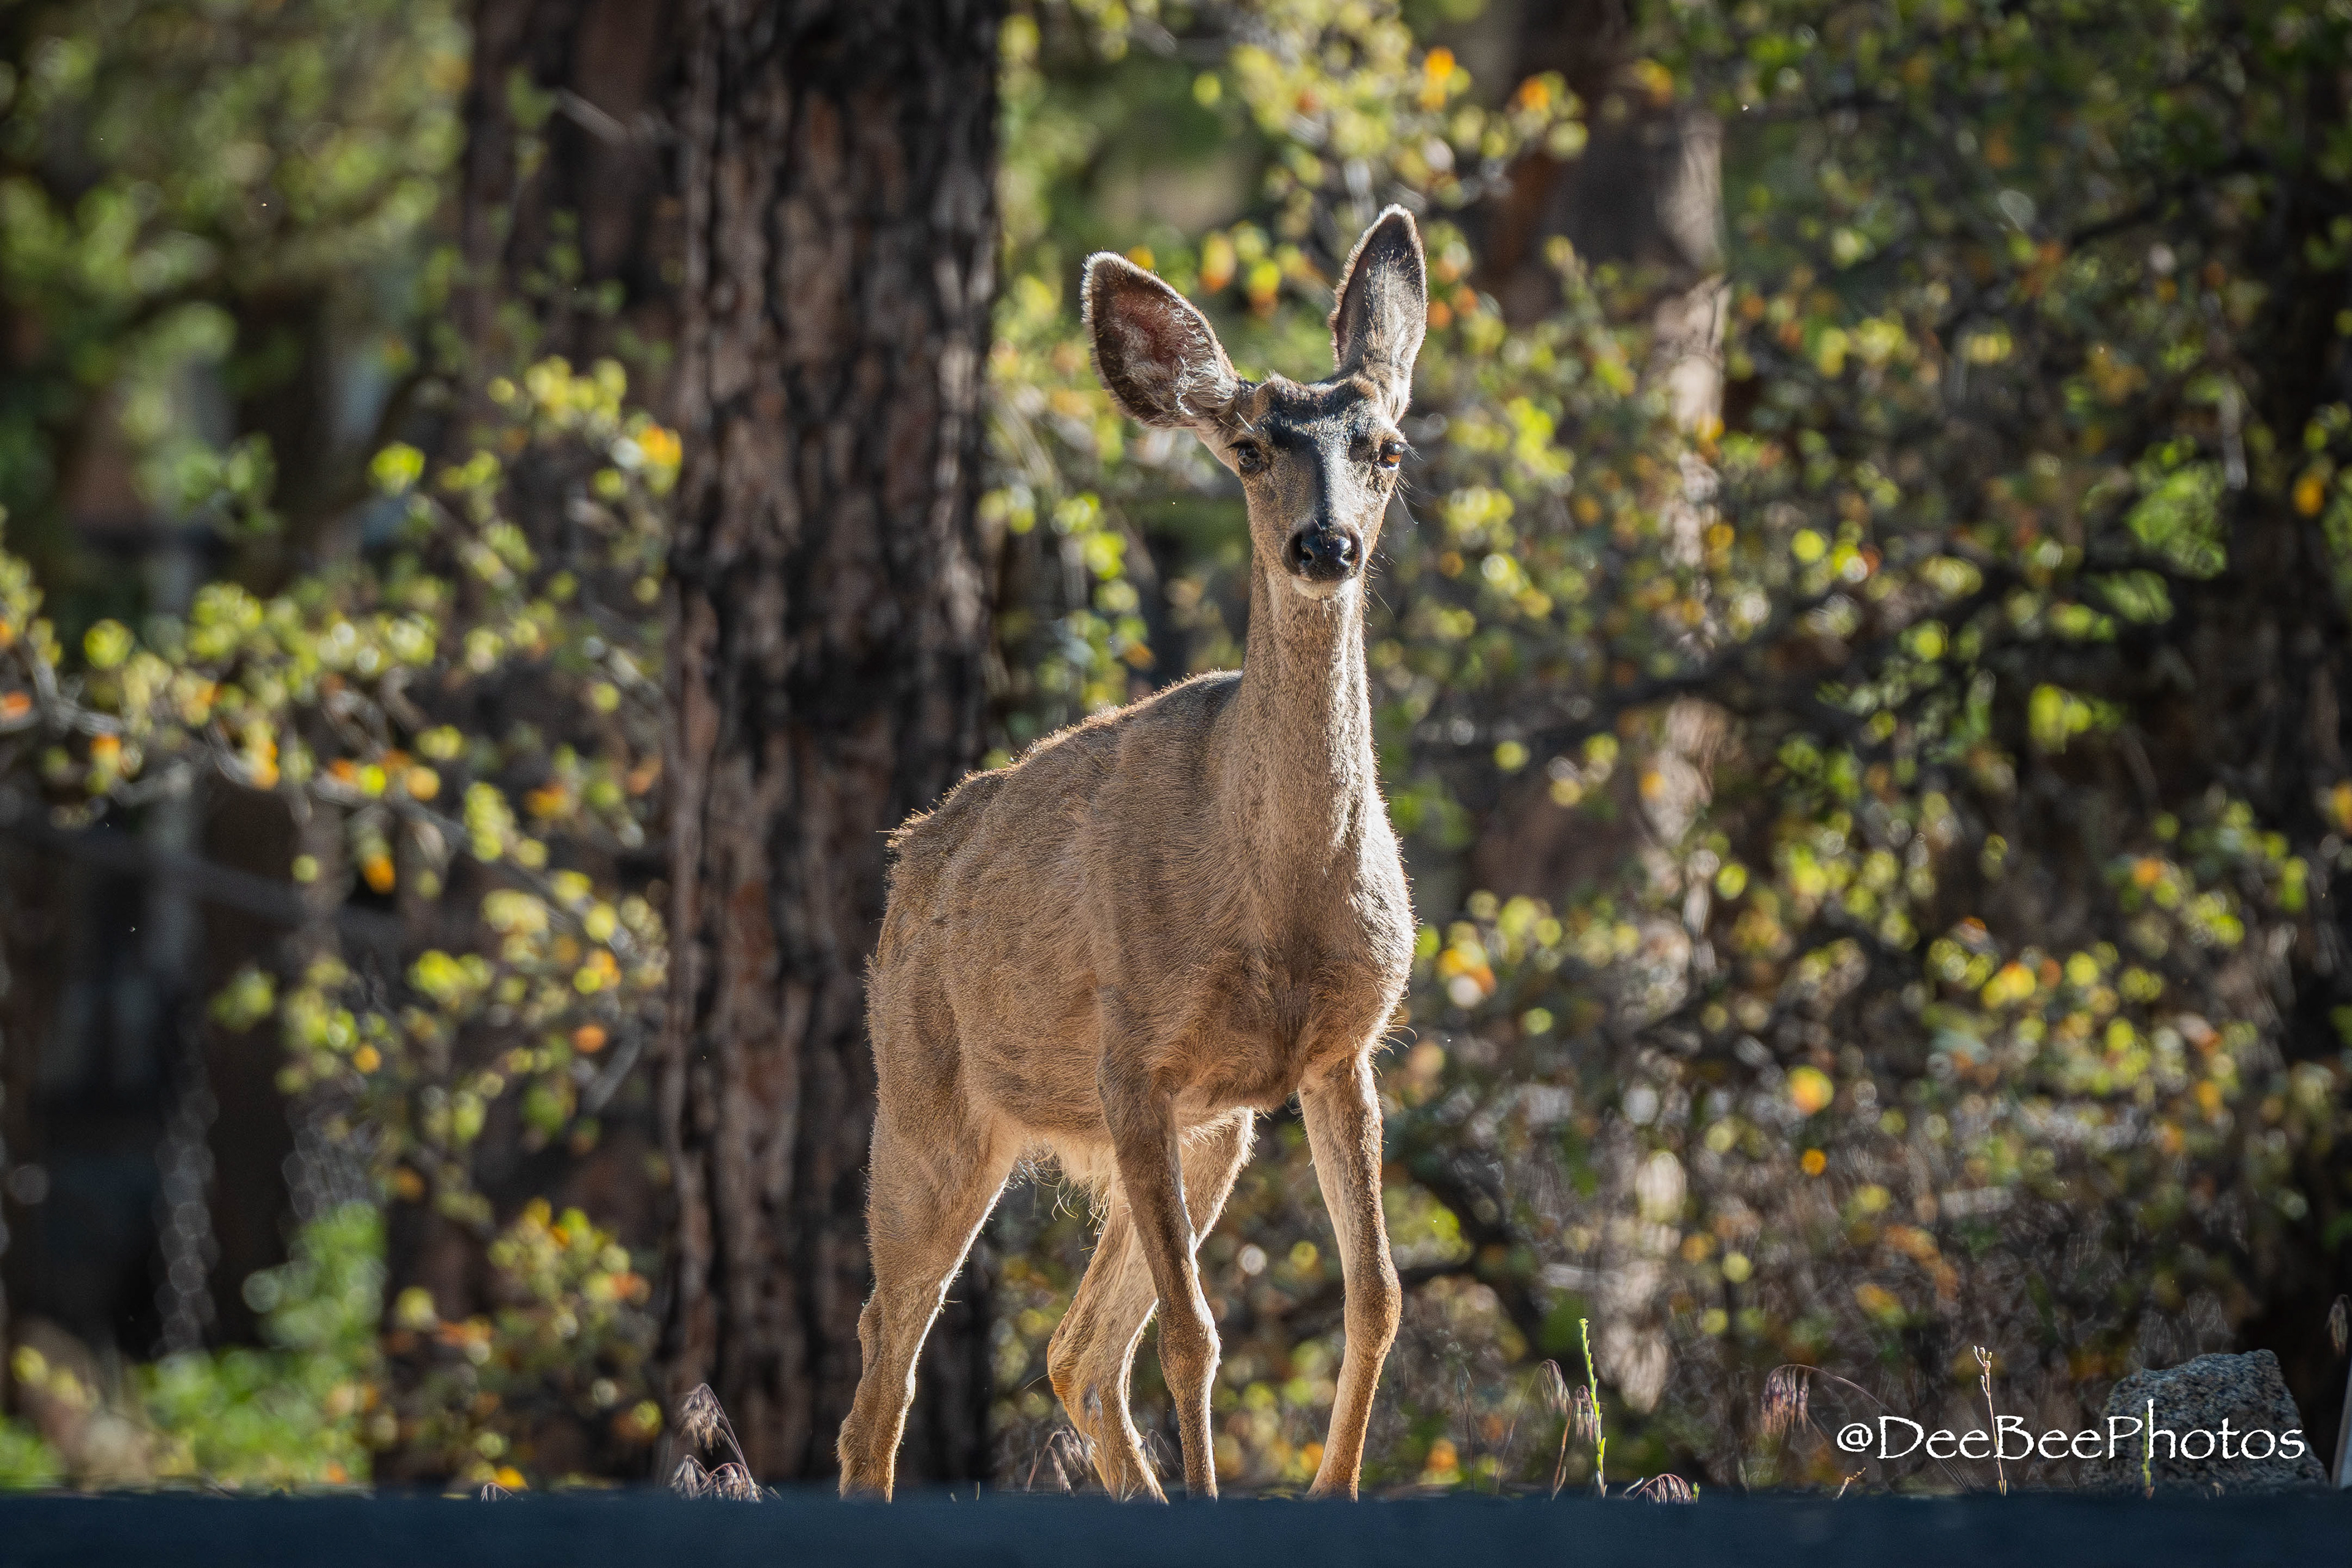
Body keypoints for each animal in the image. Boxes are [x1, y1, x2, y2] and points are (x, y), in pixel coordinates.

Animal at [835, 208, 1428, 1503]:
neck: (1277, 901)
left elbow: (1376, 1298)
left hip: (1213, 1135)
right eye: (1249, 448)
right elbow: (1196, 1334)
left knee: (1072, 1350)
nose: (1325, 544)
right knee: (884, 1363)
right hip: (927, 1102)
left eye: (1388, 447)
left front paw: (1335, 1490)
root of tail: (912, 856)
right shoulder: (1134, 1058)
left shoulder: (1339, 1052)